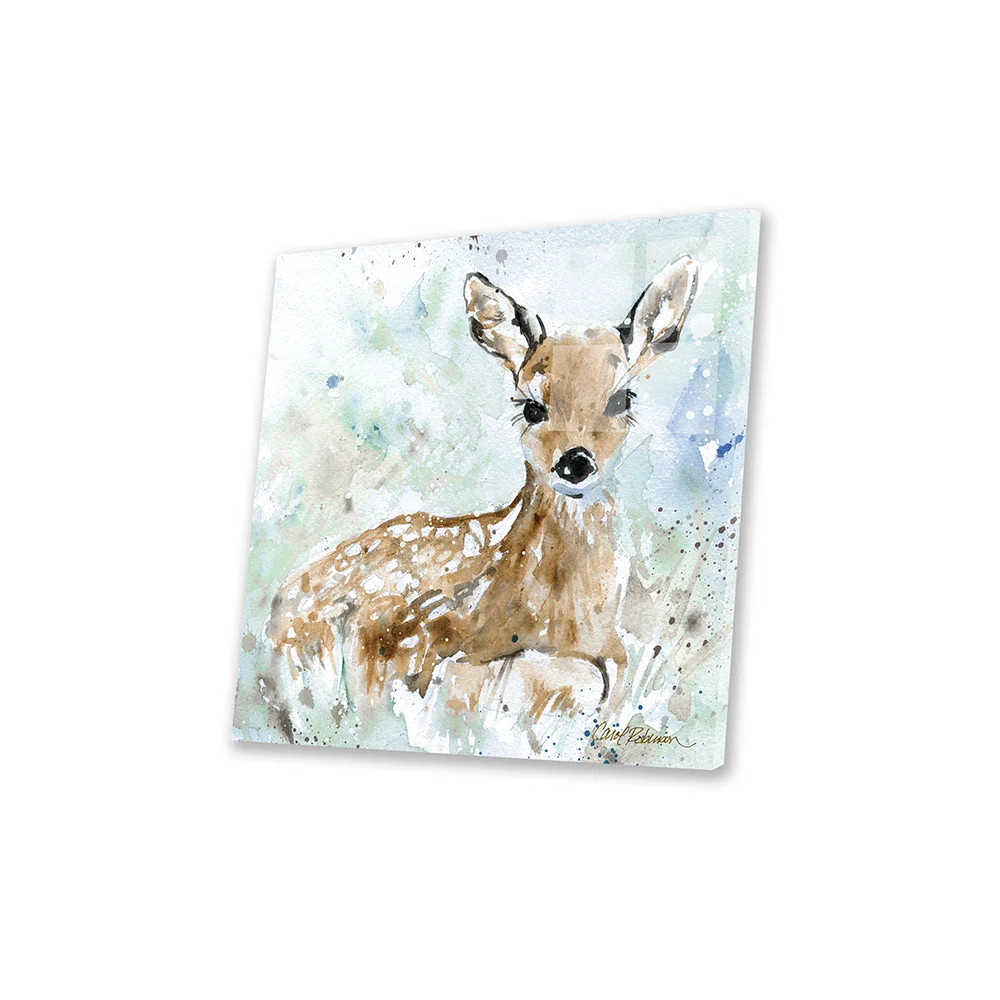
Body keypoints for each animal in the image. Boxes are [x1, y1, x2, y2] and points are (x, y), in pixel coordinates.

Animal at [262, 253, 699, 740]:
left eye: (622, 398)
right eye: (532, 407)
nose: (575, 461)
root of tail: (279, 603)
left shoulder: (613, 657)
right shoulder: (435, 654)